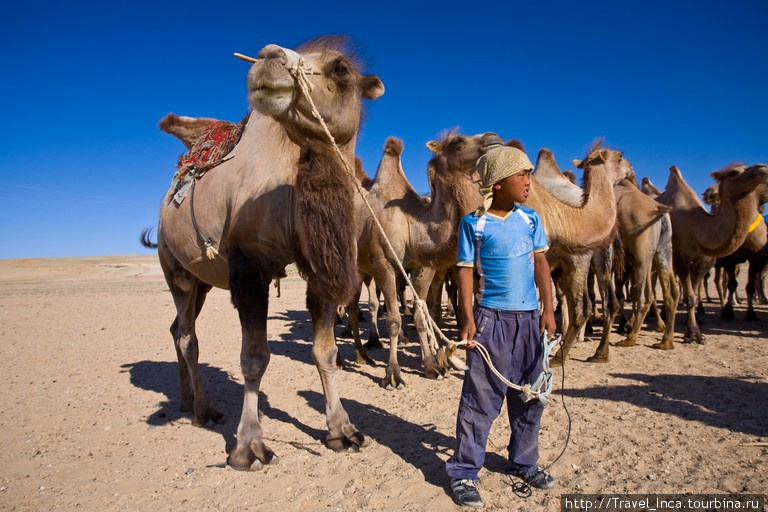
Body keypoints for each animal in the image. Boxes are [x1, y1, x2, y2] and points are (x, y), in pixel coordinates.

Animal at [140, 35, 384, 468]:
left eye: (340, 69)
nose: (269, 57)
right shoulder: (249, 265)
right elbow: (254, 359)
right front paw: (248, 445)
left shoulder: (317, 266)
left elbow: (325, 352)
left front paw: (343, 430)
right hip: (174, 268)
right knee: (187, 335)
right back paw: (204, 409)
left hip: (202, 281)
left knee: (176, 328)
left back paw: (186, 401)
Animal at [350, 132, 504, 388]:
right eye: (457, 141)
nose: (494, 138)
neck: (413, 225)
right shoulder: (384, 264)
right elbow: (394, 320)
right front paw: (393, 374)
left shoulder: (421, 266)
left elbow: (420, 315)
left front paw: (432, 366)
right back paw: (351, 357)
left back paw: (362, 353)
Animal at [656, 162, 768, 342]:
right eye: (732, 173)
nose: (762, 168)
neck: (697, 226)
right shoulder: (682, 258)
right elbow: (690, 296)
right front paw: (693, 334)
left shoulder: (703, 260)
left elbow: (694, 293)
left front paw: (693, 324)